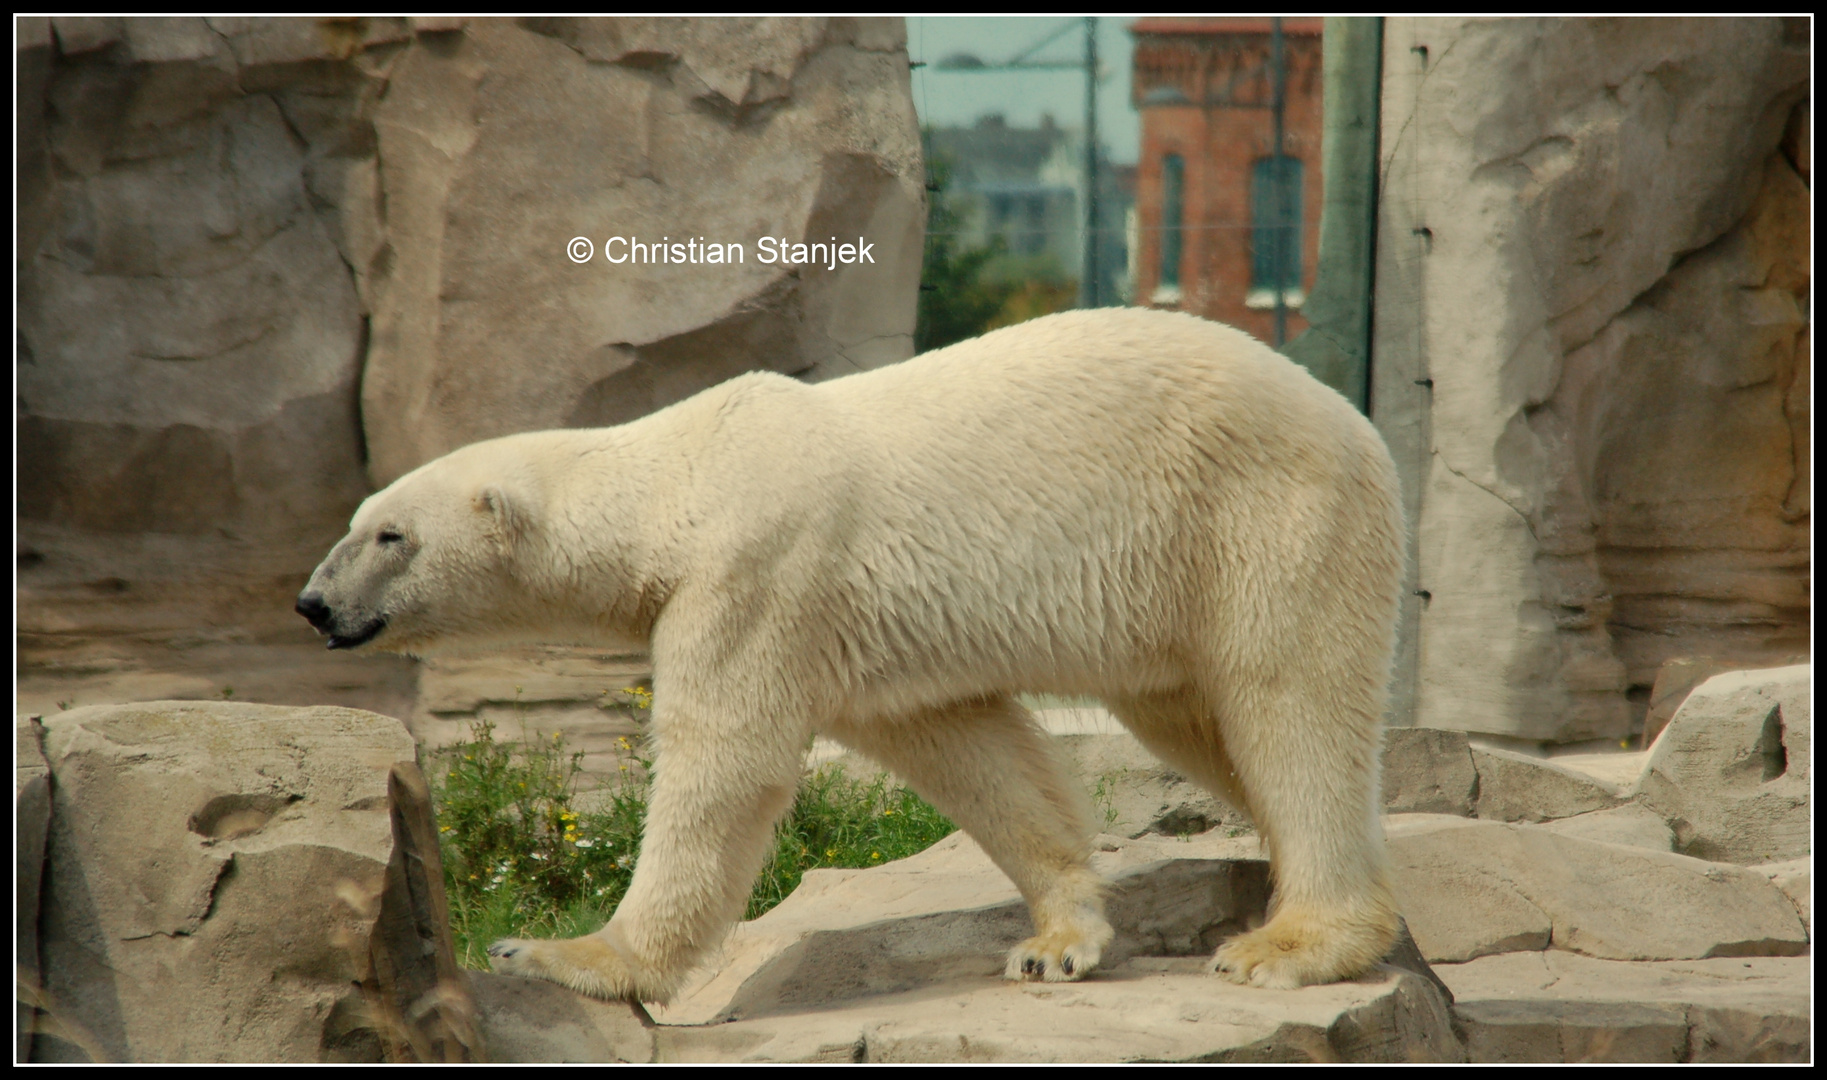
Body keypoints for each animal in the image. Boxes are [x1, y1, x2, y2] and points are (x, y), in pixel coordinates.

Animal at [299, 308, 1403, 1001]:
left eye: (390, 535)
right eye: (355, 523)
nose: (313, 604)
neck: (679, 472)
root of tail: (1356, 420)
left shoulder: (759, 570)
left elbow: (725, 762)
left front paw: (566, 954)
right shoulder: (864, 632)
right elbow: (967, 747)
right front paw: (1058, 940)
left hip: (1261, 518)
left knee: (1288, 705)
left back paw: (1292, 943)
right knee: (1196, 718)